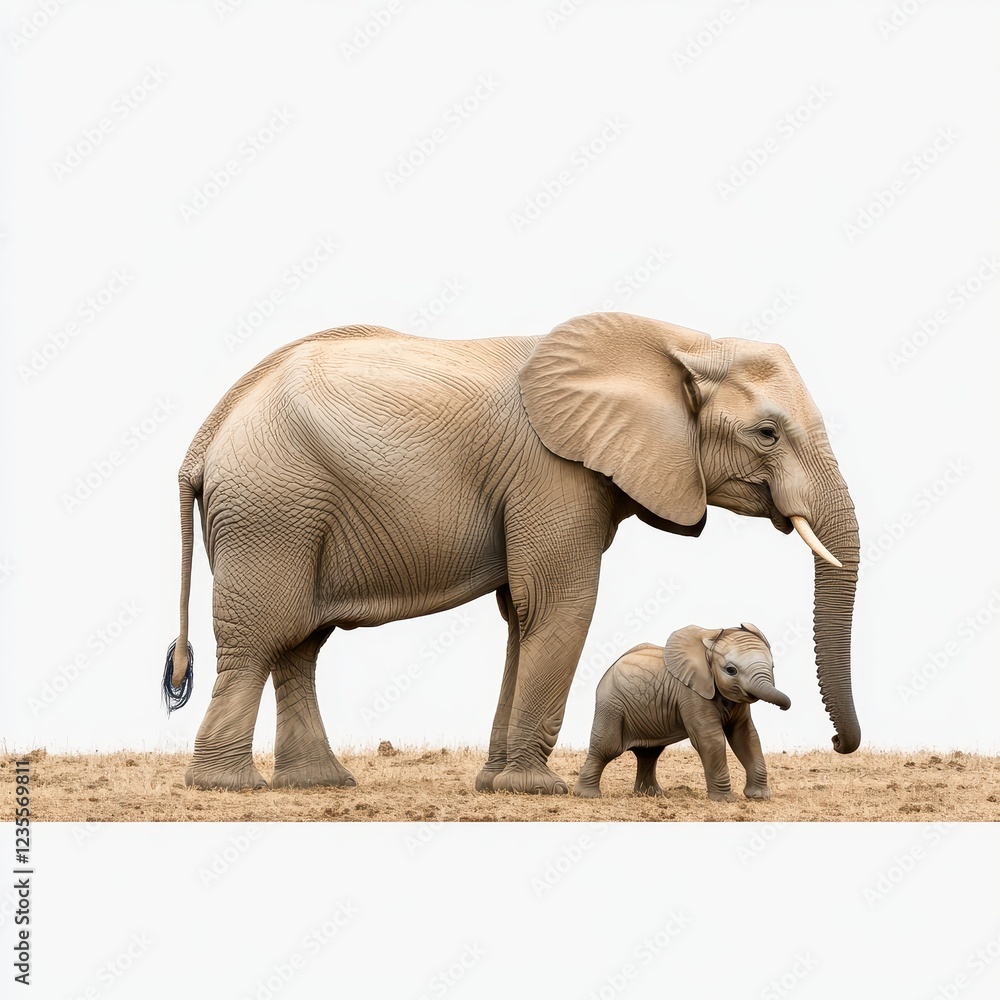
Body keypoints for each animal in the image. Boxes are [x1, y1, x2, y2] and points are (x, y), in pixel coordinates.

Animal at [572, 623, 790, 801]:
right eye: (731, 670)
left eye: (772, 666)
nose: (784, 707)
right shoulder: (691, 693)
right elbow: (711, 739)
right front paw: (726, 800)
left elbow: (746, 736)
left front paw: (759, 797)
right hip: (611, 705)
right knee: (608, 748)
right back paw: (588, 795)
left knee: (649, 753)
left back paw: (652, 794)